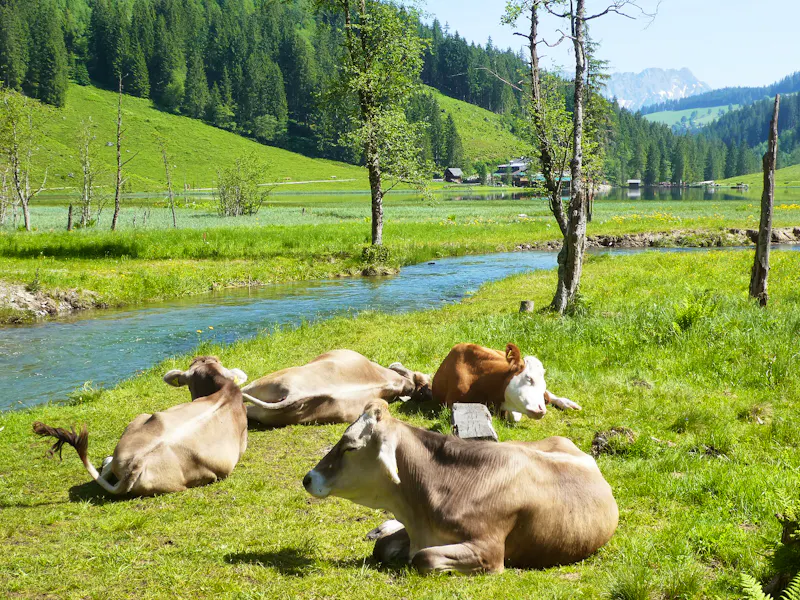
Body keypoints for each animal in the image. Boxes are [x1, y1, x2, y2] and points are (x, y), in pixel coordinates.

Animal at [303, 400, 618, 574]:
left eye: (350, 447)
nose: (308, 478)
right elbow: (383, 547)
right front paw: (385, 534)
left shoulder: (489, 551)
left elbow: (423, 558)